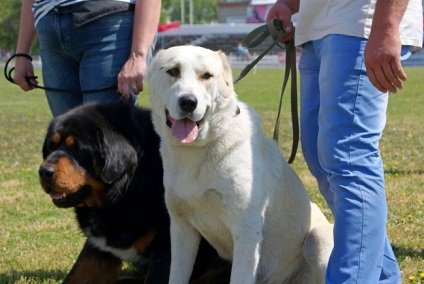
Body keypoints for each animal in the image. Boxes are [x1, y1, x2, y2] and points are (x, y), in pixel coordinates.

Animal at [39, 101, 230, 282]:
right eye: (51, 146)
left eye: (77, 148)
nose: (44, 171)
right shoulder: (99, 248)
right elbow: (76, 274)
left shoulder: (167, 247)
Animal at [147, 45, 332, 282]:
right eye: (173, 71)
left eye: (206, 76)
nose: (188, 102)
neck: (197, 150)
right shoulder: (181, 228)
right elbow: (177, 276)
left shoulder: (247, 229)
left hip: (318, 241)